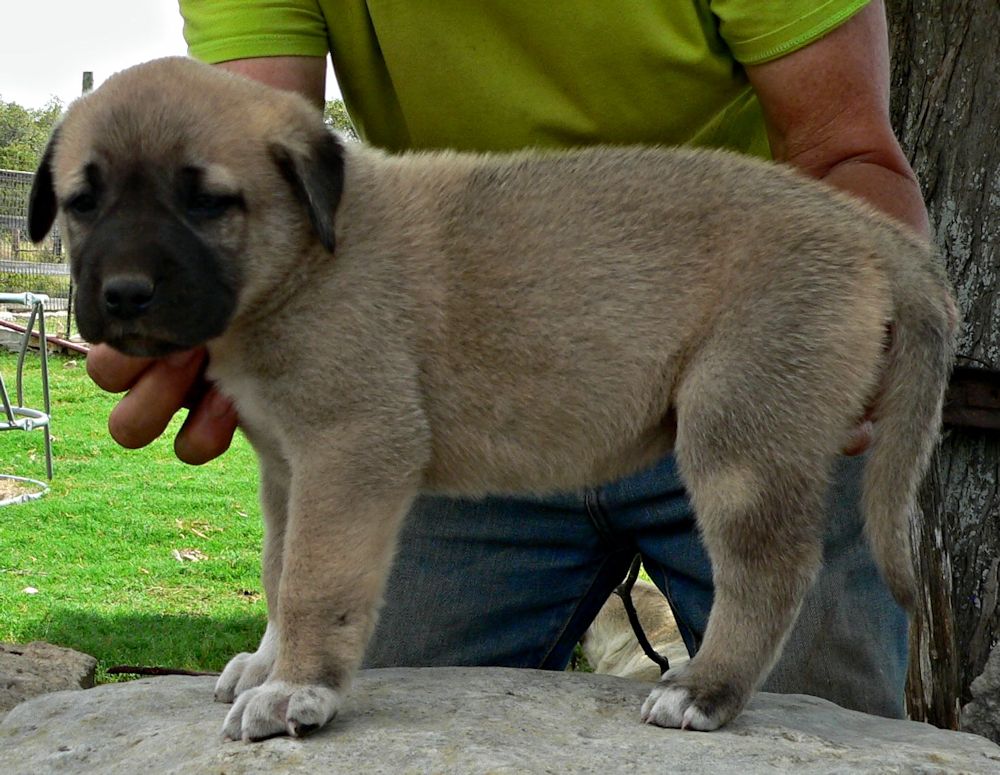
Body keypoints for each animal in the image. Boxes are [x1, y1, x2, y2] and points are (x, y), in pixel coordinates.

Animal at [27, 59, 956, 740]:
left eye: (207, 200)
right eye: (83, 201)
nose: (124, 295)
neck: (307, 258)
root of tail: (869, 234)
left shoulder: (351, 447)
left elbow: (315, 580)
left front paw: (298, 690)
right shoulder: (289, 466)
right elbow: (278, 566)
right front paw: (269, 664)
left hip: (741, 427)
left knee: (768, 572)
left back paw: (708, 691)